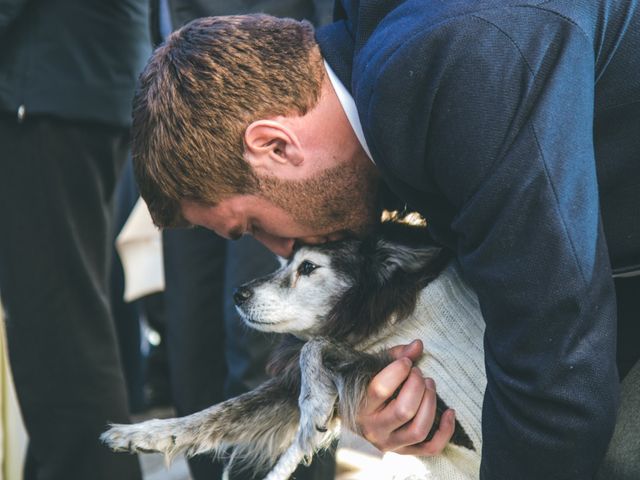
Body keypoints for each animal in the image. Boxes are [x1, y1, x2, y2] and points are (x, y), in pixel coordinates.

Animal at [102, 225, 488, 480]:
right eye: (284, 262)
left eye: (308, 267)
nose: (238, 294)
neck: (380, 310)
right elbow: (217, 413)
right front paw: (141, 434)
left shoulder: (436, 402)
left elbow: (315, 346)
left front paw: (314, 403)